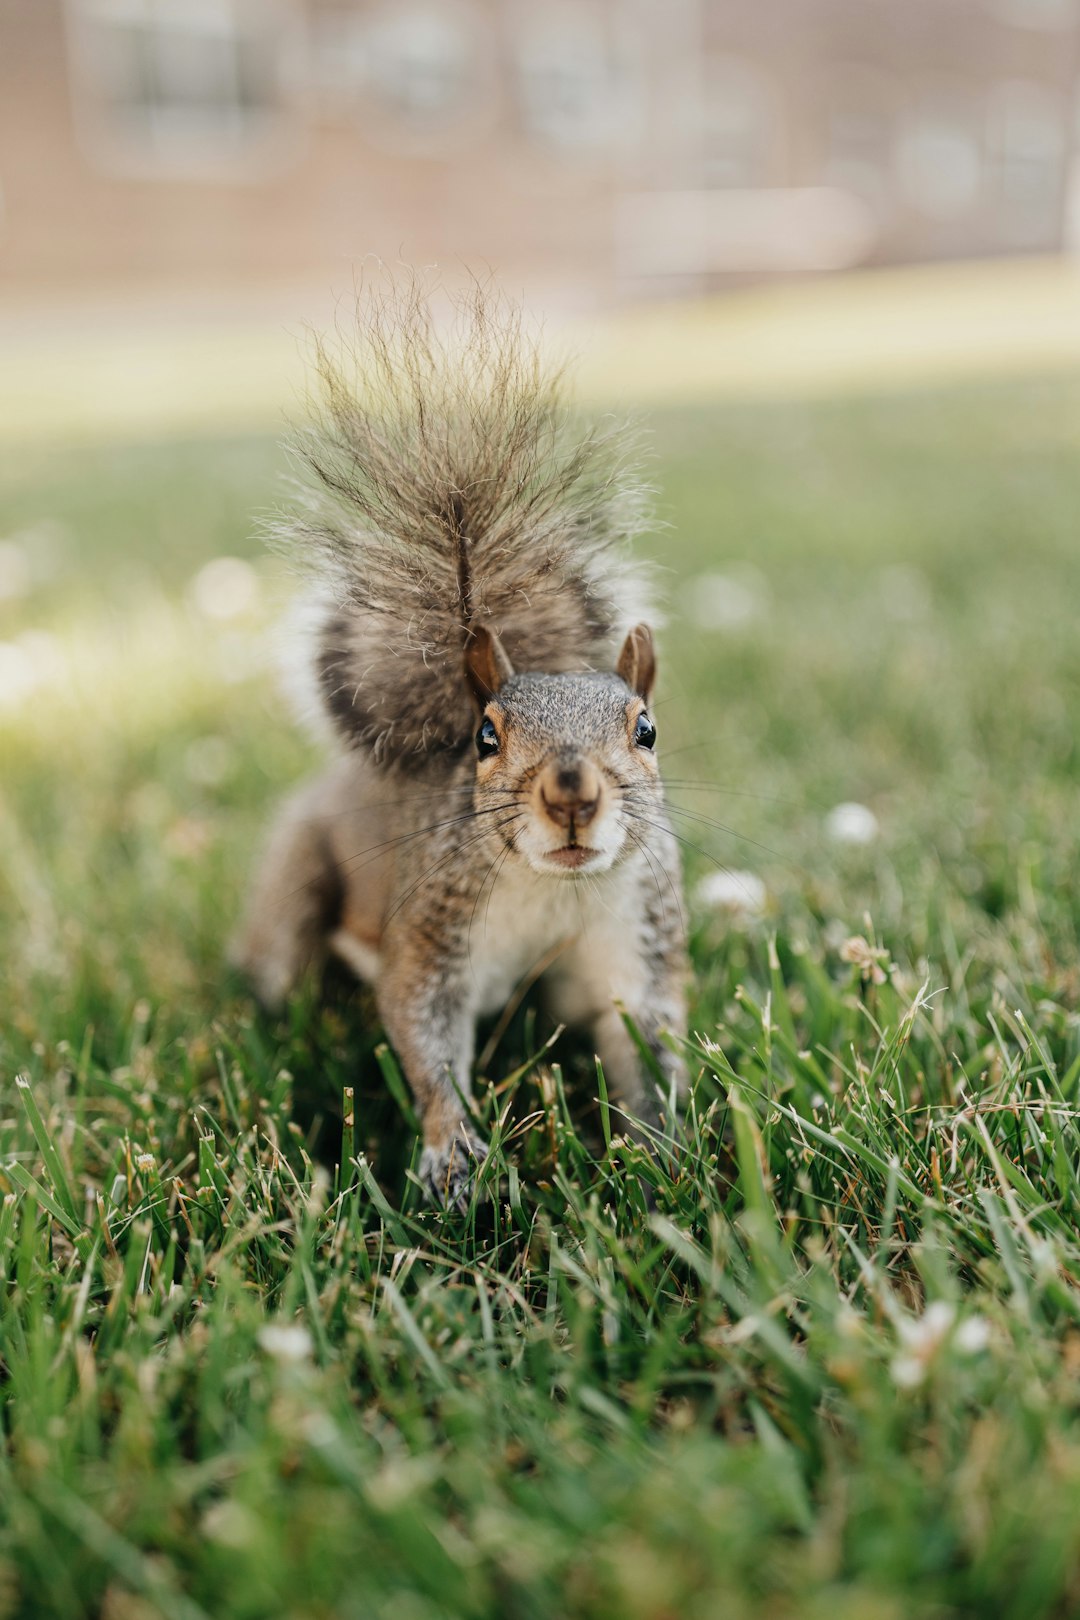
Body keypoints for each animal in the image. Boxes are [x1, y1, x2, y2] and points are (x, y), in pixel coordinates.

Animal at [234, 285, 693, 1211]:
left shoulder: (636, 933)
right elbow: (422, 1028)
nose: (571, 795)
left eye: (647, 730)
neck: (553, 889)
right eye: (486, 736)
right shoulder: (434, 923)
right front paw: (455, 1156)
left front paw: (659, 1155)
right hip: (298, 880)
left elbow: (645, 1041)